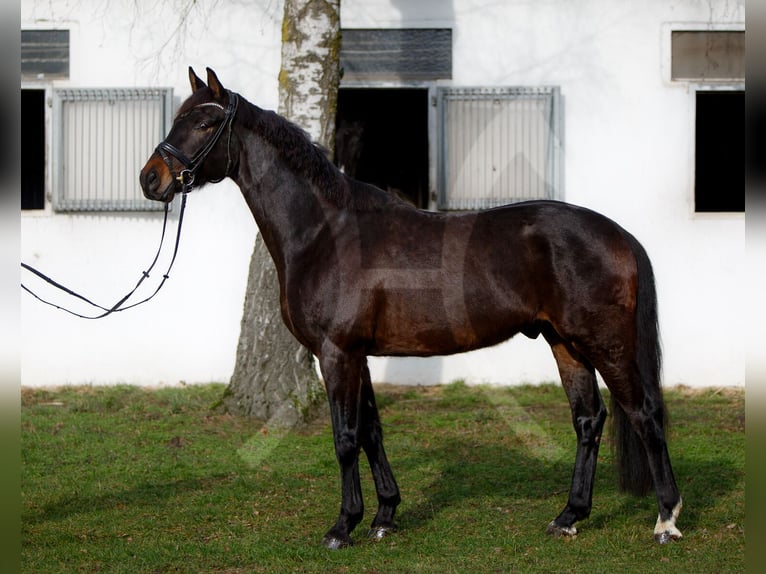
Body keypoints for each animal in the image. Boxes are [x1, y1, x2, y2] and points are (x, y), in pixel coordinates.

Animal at [140, 67, 684, 548]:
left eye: (205, 123)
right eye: (179, 117)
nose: (151, 179)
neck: (323, 232)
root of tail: (617, 234)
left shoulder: (336, 353)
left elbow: (345, 437)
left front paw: (343, 527)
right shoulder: (357, 355)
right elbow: (372, 432)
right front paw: (384, 517)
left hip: (605, 342)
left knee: (645, 413)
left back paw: (666, 519)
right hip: (565, 343)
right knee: (588, 420)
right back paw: (569, 517)